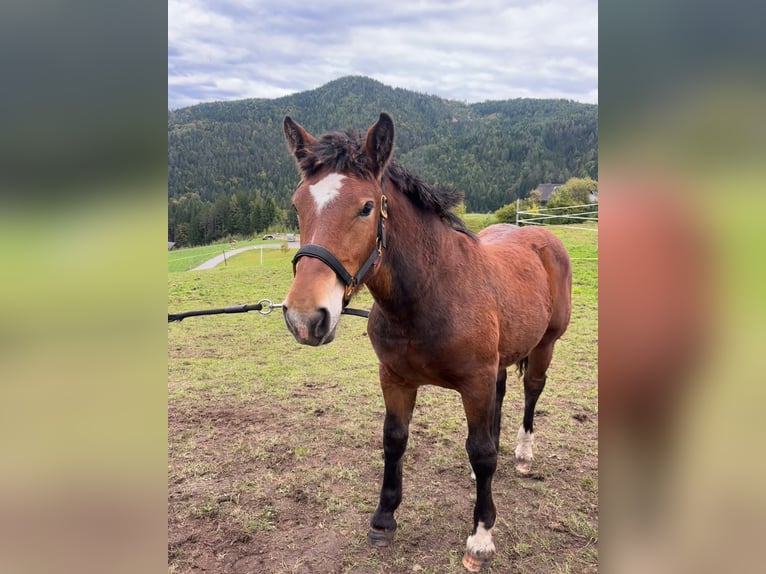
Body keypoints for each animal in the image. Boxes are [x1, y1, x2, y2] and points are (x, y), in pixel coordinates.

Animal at [281, 113, 572, 571]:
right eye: (298, 206)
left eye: (366, 207)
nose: (306, 318)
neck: (429, 293)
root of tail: (543, 239)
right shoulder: (395, 379)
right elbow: (395, 440)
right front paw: (383, 519)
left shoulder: (474, 382)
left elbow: (481, 451)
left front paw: (481, 537)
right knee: (503, 394)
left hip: (544, 346)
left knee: (531, 391)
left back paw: (523, 454)